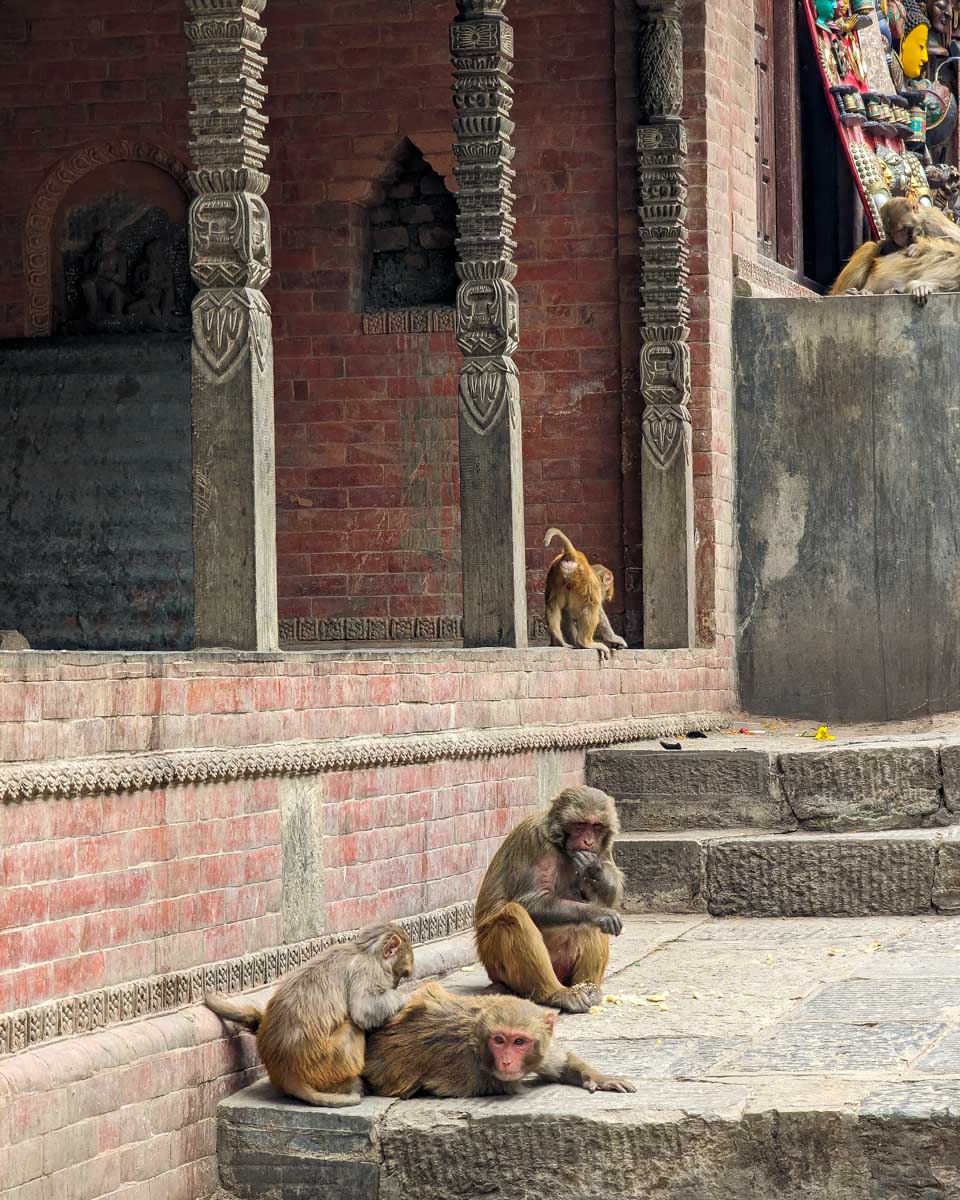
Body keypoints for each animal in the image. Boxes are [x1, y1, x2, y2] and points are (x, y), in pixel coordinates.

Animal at [204, 924, 413, 1107]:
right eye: (401, 975)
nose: (395, 985)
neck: (364, 950)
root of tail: (288, 1075)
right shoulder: (367, 969)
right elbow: (365, 1010)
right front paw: (404, 997)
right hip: (324, 1063)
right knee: (352, 1028)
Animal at [363, 982, 636, 1099]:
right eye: (499, 1039)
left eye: (519, 1042)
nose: (505, 1062)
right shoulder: (470, 1069)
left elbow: (560, 1065)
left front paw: (600, 1078)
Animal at [474, 785, 625, 1015]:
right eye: (580, 825)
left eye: (596, 826)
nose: (588, 842)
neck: (560, 844)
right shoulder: (537, 840)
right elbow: (530, 901)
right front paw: (599, 913)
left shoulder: (603, 848)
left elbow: (608, 897)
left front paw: (595, 869)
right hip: (496, 964)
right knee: (512, 915)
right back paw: (554, 994)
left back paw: (588, 988)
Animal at [544, 528, 626, 658]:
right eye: (607, 589)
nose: (606, 595)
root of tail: (573, 555)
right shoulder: (593, 585)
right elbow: (597, 609)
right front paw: (613, 639)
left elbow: (563, 610)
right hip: (582, 578)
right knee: (591, 605)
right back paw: (585, 642)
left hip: (556, 575)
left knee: (553, 605)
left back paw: (559, 641)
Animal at [831, 197, 960, 296]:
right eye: (891, 233)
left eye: (902, 230)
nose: (899, 239)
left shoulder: (934, 224)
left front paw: (917, 247)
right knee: (871, 246)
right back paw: (846, 293)